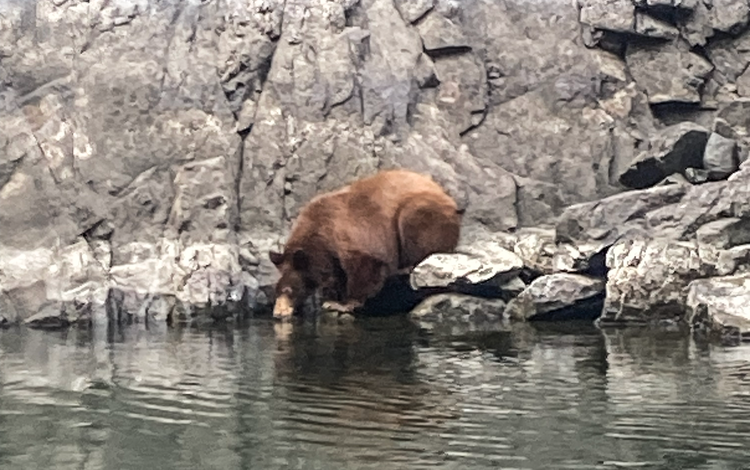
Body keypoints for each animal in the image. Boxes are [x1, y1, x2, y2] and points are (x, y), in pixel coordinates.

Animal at [268, 168, 462, 320]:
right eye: (276, 291)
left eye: (288, 290)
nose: (277, 313)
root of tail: (449, 199)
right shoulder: (330, 254)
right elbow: (338, 273)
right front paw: (333, 298)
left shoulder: (351, 233)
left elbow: (365, 266)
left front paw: (344, 303)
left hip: (423, 210)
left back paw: (407, 266)